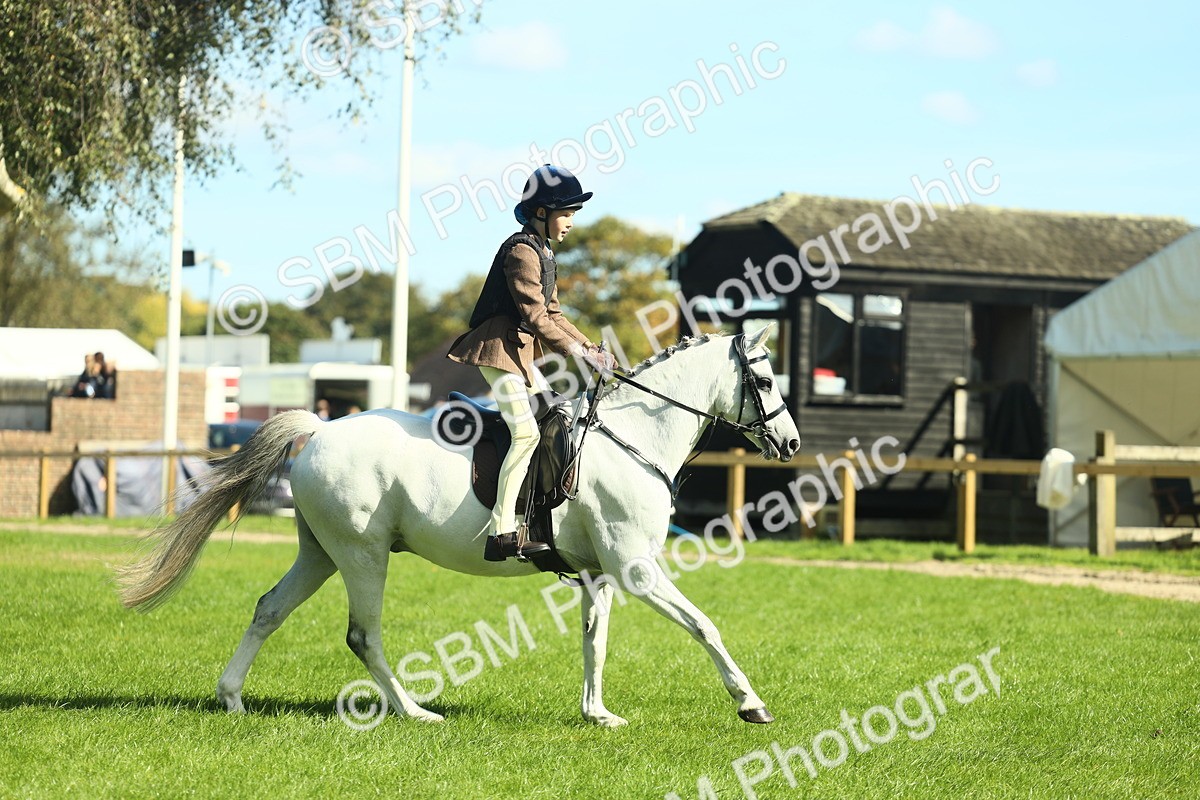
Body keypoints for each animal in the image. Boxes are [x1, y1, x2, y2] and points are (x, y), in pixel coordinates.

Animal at [116, 324, 802, 727]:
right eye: (766, 379)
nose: (792, 444)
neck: (630, 436)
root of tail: (321, 429)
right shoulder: (637, 569)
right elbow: (705, 626)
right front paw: (751, 703)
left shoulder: (600, 574)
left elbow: (595, 642)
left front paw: (596, 713)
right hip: (363, 555)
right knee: (363, 635)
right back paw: (414, 712)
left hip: (320, 553)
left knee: (268, 609)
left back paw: (231, 696)